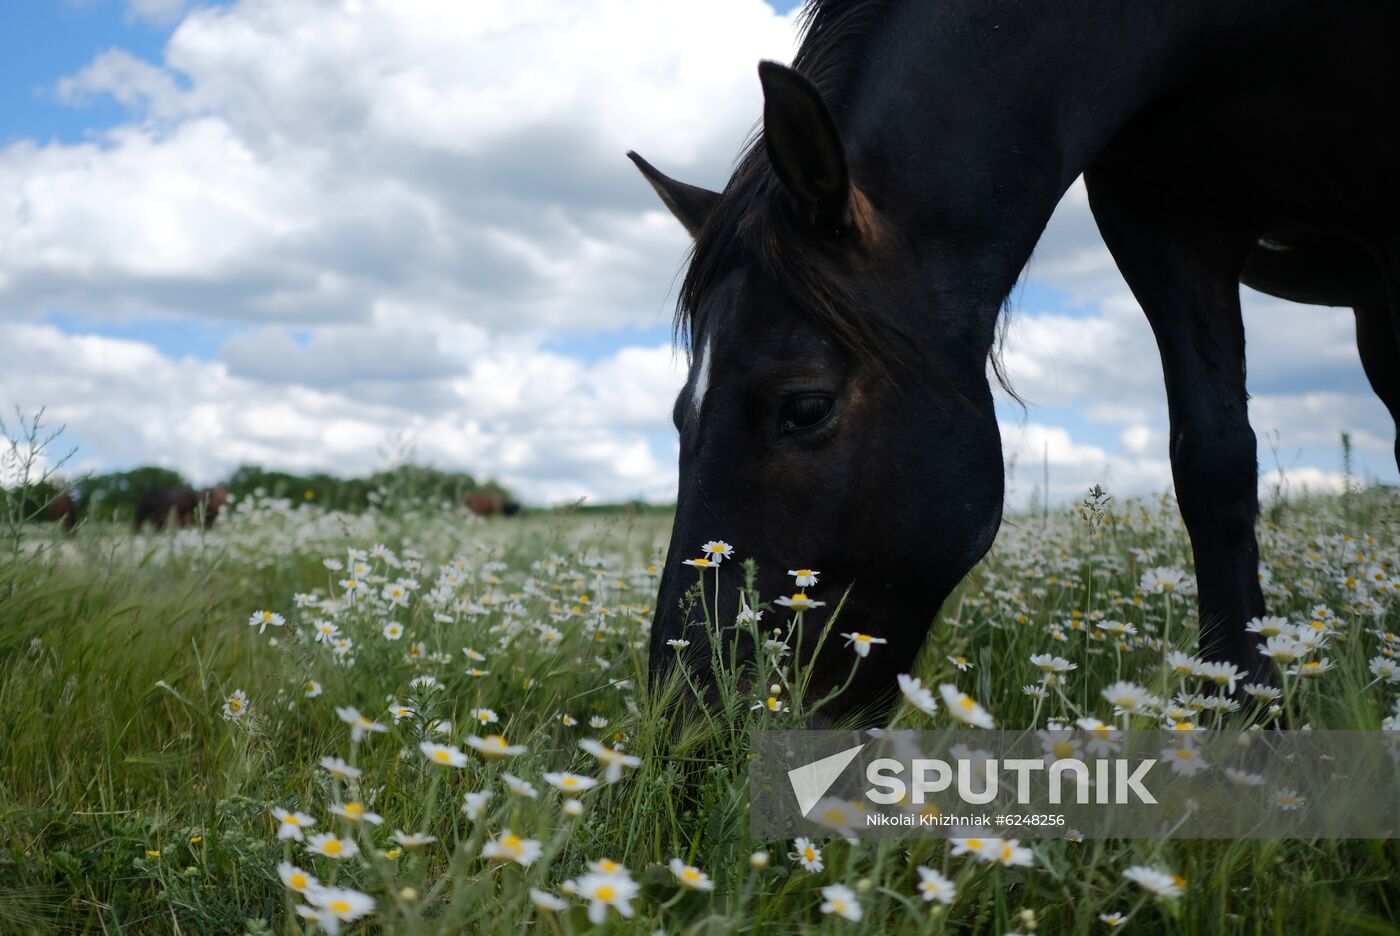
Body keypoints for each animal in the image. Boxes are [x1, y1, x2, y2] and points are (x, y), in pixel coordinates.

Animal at [638, 0, 1400, 721]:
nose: (689, 721)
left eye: (804, 407)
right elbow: (1213, 468)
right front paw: (1243, 711)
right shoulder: (1163, 221)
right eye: (677, 416)